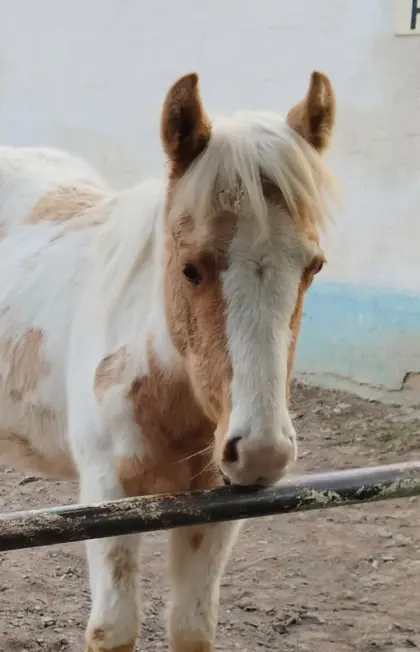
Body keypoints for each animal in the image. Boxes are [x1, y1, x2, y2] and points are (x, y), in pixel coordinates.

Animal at [0, 70, 336, 651]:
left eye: (312, 266)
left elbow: (191, 627)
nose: (262, 451)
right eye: (190, 268)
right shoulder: (107, 496)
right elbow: (114, 629)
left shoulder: (219, 507)